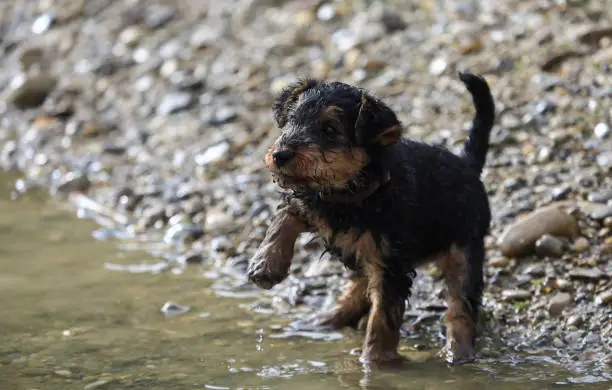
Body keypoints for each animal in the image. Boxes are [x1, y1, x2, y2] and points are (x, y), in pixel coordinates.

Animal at [246, 72, 494, 366]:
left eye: (330, 129)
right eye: (291, 120)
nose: (280, 155)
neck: (352, 194)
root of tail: (467, 165)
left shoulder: (391, 265)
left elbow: (382, 318)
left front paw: (374, 363)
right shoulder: (315, 204)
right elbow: (284, 216)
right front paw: (266, 265)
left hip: (464, 247)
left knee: (460, 304)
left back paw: (457, 352)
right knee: (361, 285)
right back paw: (323, 321)